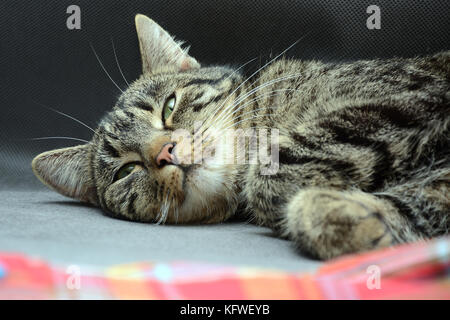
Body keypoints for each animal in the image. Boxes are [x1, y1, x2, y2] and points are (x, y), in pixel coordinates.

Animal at [32, 15, 450, 260]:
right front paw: (355, 221)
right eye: (125, 171)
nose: (166, 152)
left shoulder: (400, 98)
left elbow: (270, 178)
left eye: (169, 107)